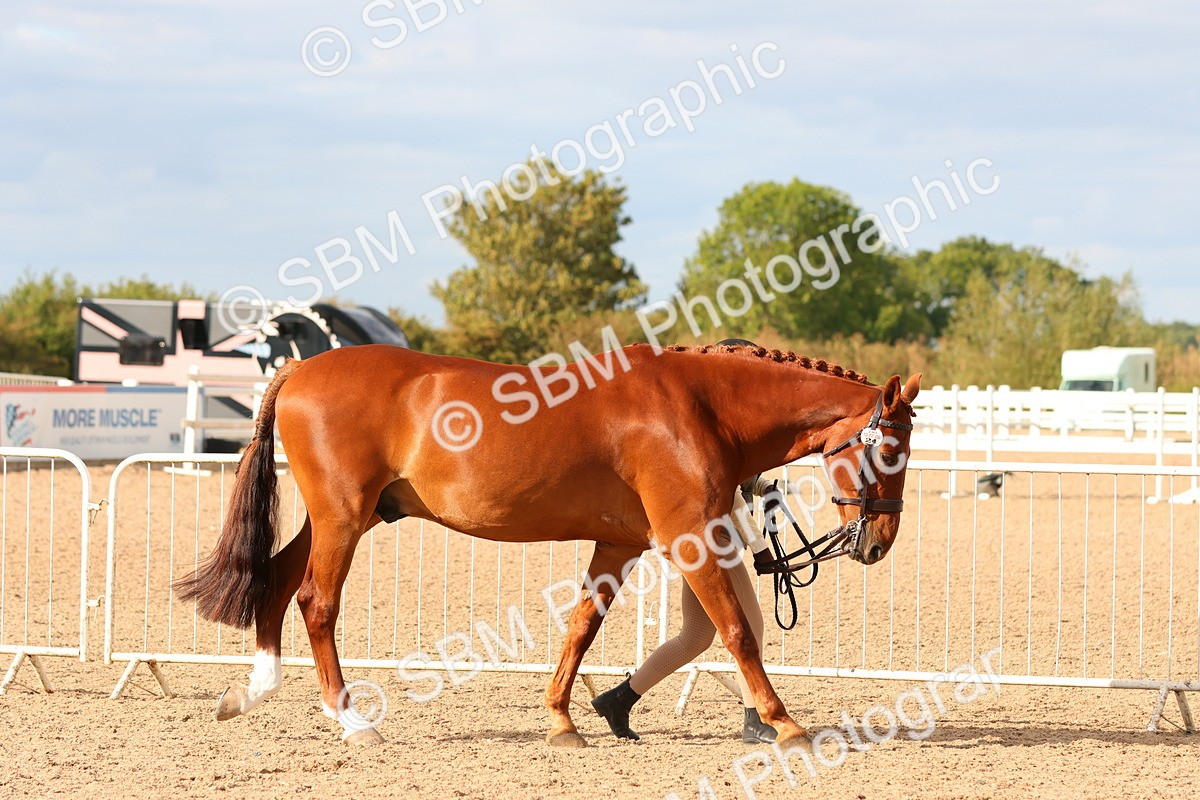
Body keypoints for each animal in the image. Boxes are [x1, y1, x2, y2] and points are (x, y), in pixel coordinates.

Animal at [176, 341, 921, 748]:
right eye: (890, 448)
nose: (880, 542)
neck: (701, 407)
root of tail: (300, 370)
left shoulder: (619, 545)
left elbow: (582, 628)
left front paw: (564, 718)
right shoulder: (687, 538)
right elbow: (736, 629)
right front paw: (784, 721)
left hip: (339, 517)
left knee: (276, 581)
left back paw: (251, 692)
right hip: (343, 517)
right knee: (315, 602)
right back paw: (352, 720)